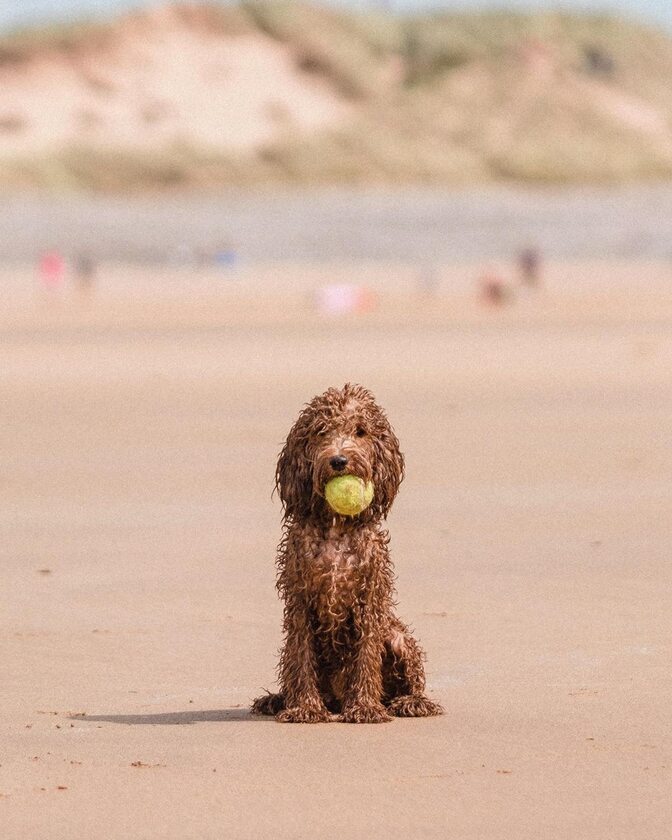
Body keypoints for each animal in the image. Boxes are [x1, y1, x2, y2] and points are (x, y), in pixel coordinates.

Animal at [251, 384, 440, 720]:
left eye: (361, 431)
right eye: (321, 431)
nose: (339, 460)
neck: (336, 528)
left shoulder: (369, 598)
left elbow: (365, 655)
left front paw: (365, 706)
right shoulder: (299, 599)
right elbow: (300, 656)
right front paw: (305, 707)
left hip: (397, 635)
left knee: (411, 676)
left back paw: (411, 702)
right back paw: (278, 699)